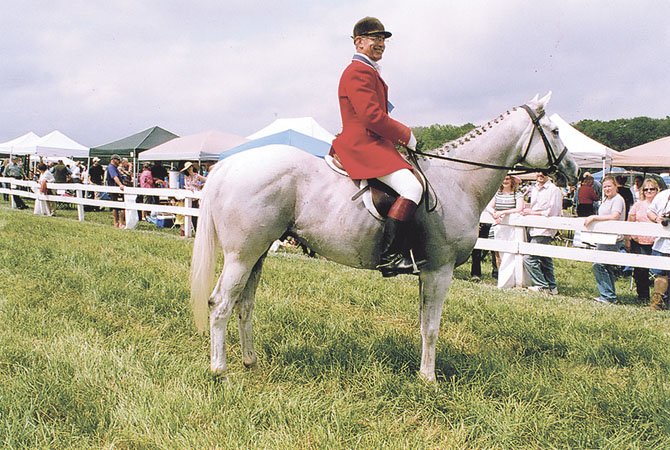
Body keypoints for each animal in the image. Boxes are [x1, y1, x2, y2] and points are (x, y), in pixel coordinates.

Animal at [192, 93, 580, 382]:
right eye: (555, 131)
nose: (573, 171)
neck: (458, 181)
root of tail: (227, 165)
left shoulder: (428, 273)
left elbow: (423, 324)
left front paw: (422, 372)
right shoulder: (439, 271)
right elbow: (432, 327)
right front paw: (429, 380)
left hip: (257, 254)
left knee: (244, 305)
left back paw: (250, 361)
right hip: (242, 255)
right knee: (221, 304)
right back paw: (220, 370)